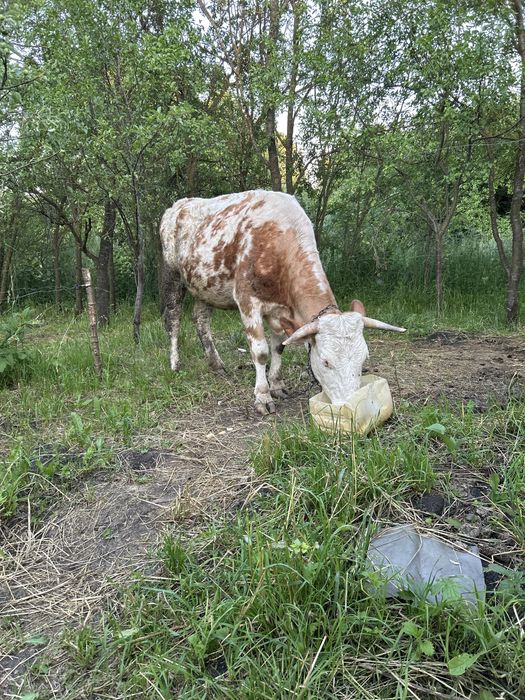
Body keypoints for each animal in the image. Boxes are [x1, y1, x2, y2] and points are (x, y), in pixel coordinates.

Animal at [160, 190, 405, 414]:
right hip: (173, 275)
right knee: (173, 319)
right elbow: (260, 352)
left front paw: (276, 385)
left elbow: (278, 346)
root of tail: (178, 205)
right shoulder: (248, 301)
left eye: (363, 359)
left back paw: (216, 365)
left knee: (201, 319)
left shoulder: (279, 310)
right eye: (326, 361)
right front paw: (263, 396)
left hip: (205, 286)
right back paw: (175, 363)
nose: (349, 405)